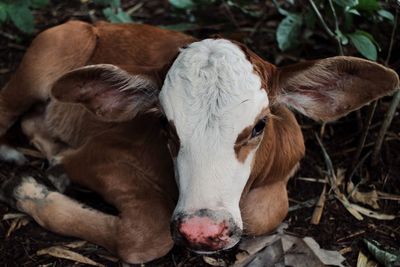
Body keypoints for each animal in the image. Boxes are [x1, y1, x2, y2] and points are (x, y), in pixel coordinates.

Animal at [0, 21, 398, 264]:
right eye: (165, 125)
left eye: (259, 126)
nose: (202, 231)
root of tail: (92, 24)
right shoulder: (97, 154)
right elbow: (147, 234)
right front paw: (32, 190)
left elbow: (266, 212)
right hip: (44, 59)